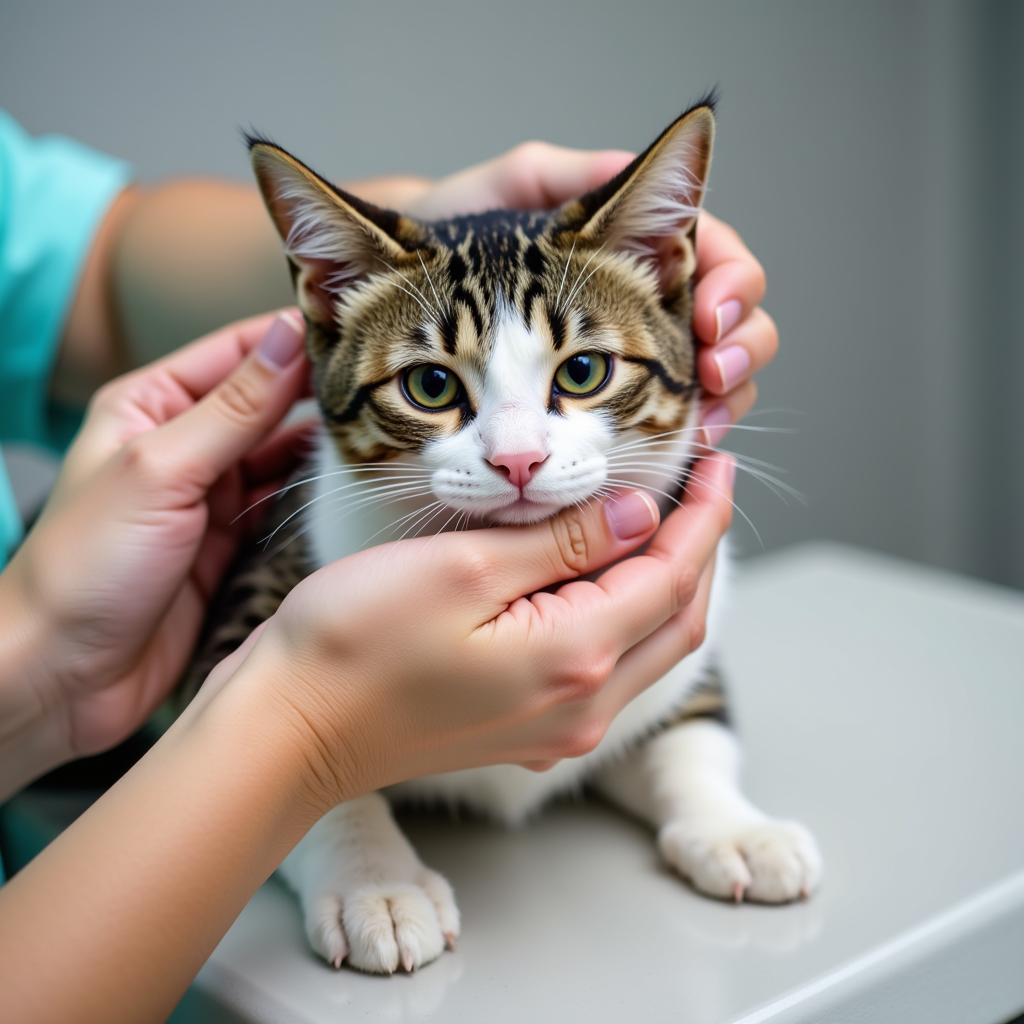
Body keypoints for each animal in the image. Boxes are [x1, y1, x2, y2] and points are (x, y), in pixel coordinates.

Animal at [184, 97, 823, 974]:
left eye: (584, 371)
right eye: (430, 385)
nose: (517, 459)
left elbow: (686, 719)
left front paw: (735, 827)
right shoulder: (245, 594)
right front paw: (376, 883)